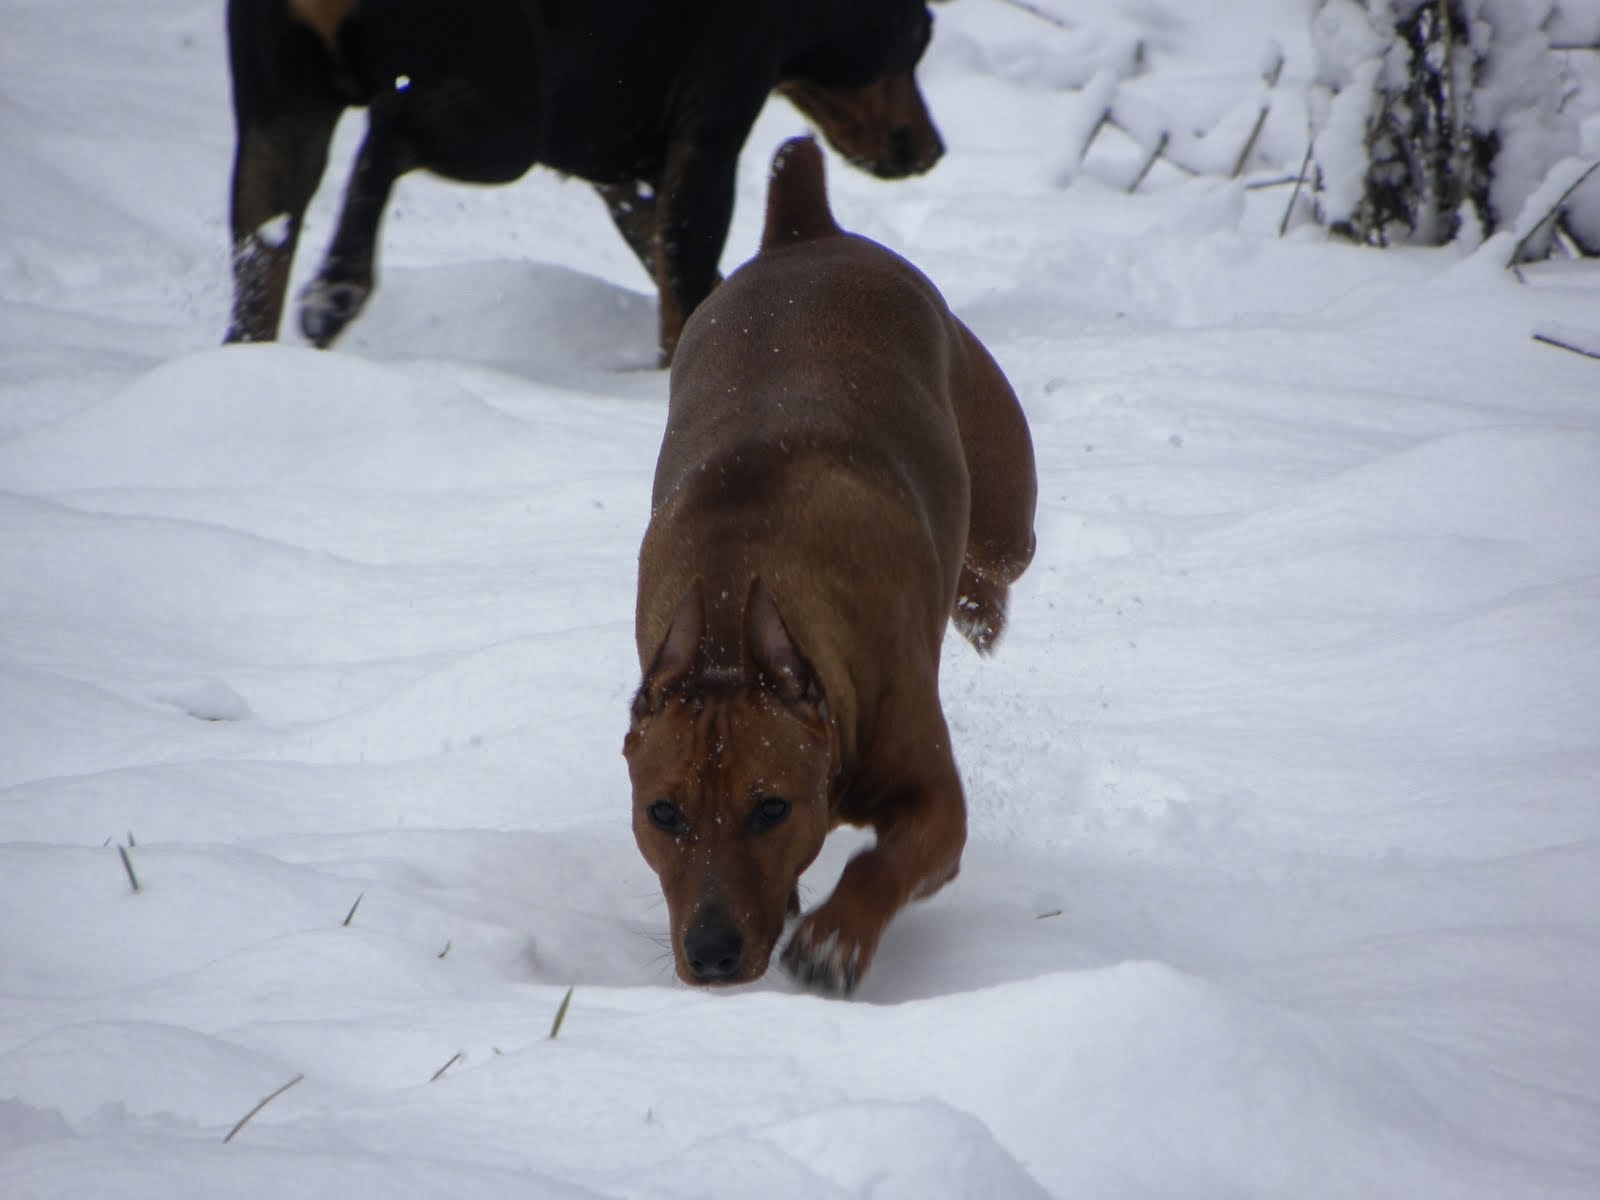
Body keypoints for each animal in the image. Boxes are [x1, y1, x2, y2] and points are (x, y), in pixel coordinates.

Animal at [228, 1, 947, 366]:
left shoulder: (619, 165)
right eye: (920, 34)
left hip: (279, 124)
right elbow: (686, 281)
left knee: (261, 266)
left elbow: (682, 276)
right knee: (385, 135)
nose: (935, 147)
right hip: (505, 119)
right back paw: (337, 288)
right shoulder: (707, 131)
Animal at [624, 136, 1036, 998]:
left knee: (999, 557)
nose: (712, 954)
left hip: (1005, 505)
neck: (728, 615)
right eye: (663, 814)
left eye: (771, 809)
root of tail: (805, 233)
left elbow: (896, 856)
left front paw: (836, 936)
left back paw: (980, 609)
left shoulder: (934, 797)